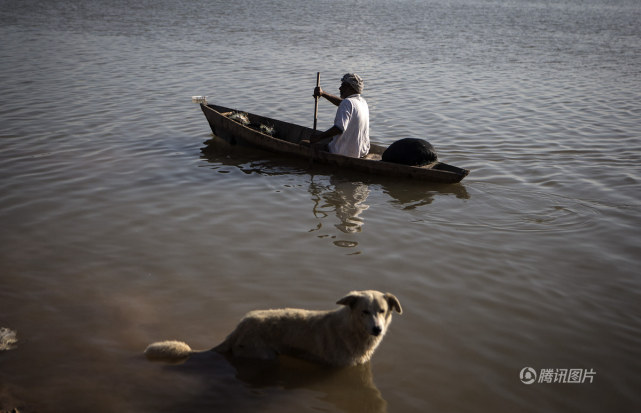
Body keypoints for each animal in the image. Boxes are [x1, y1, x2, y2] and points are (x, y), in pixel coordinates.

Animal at [148, 292, 402, 366]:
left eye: (382, 311)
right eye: (364, 312)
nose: (377, 329)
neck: (351, 329)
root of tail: (237, 328)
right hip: (265, 355)